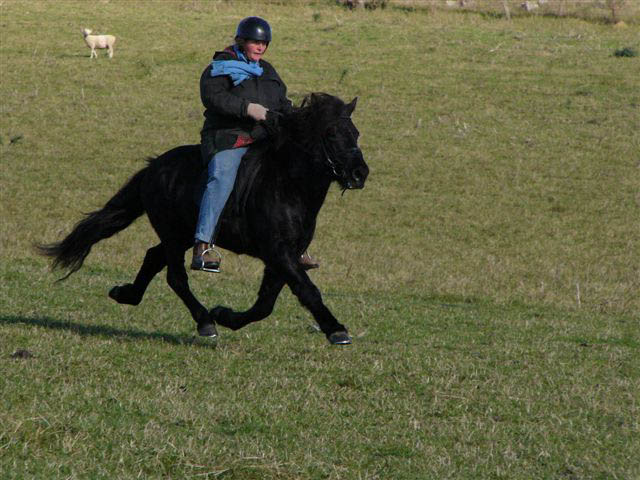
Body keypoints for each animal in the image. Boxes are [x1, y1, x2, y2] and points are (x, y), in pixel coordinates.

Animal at [38, 92, 370, 344]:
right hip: (174, 234)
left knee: (153, 257)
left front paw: (226, 315)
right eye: (331, 133)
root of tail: (153, 168)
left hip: (183, 234)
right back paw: (203, 322)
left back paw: (126, 294)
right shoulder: (278, 253)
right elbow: (306, 291)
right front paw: (336, 330)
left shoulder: (283, 257)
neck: (288, 184)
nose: (360, 174)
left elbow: (265, 304)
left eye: (355, 133)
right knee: (175, 276)